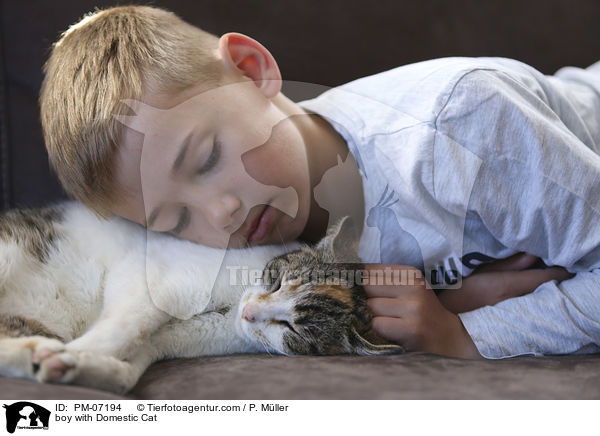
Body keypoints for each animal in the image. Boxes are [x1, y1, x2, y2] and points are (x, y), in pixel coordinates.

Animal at [1, 201, 404, 396]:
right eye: (275, 281)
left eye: (291, 327)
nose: (250, 312)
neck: (228, 307)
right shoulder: (147, 278)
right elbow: (130, 325)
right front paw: (72, 353)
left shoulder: (169, 342)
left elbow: (127, 371)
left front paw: (72, 363)